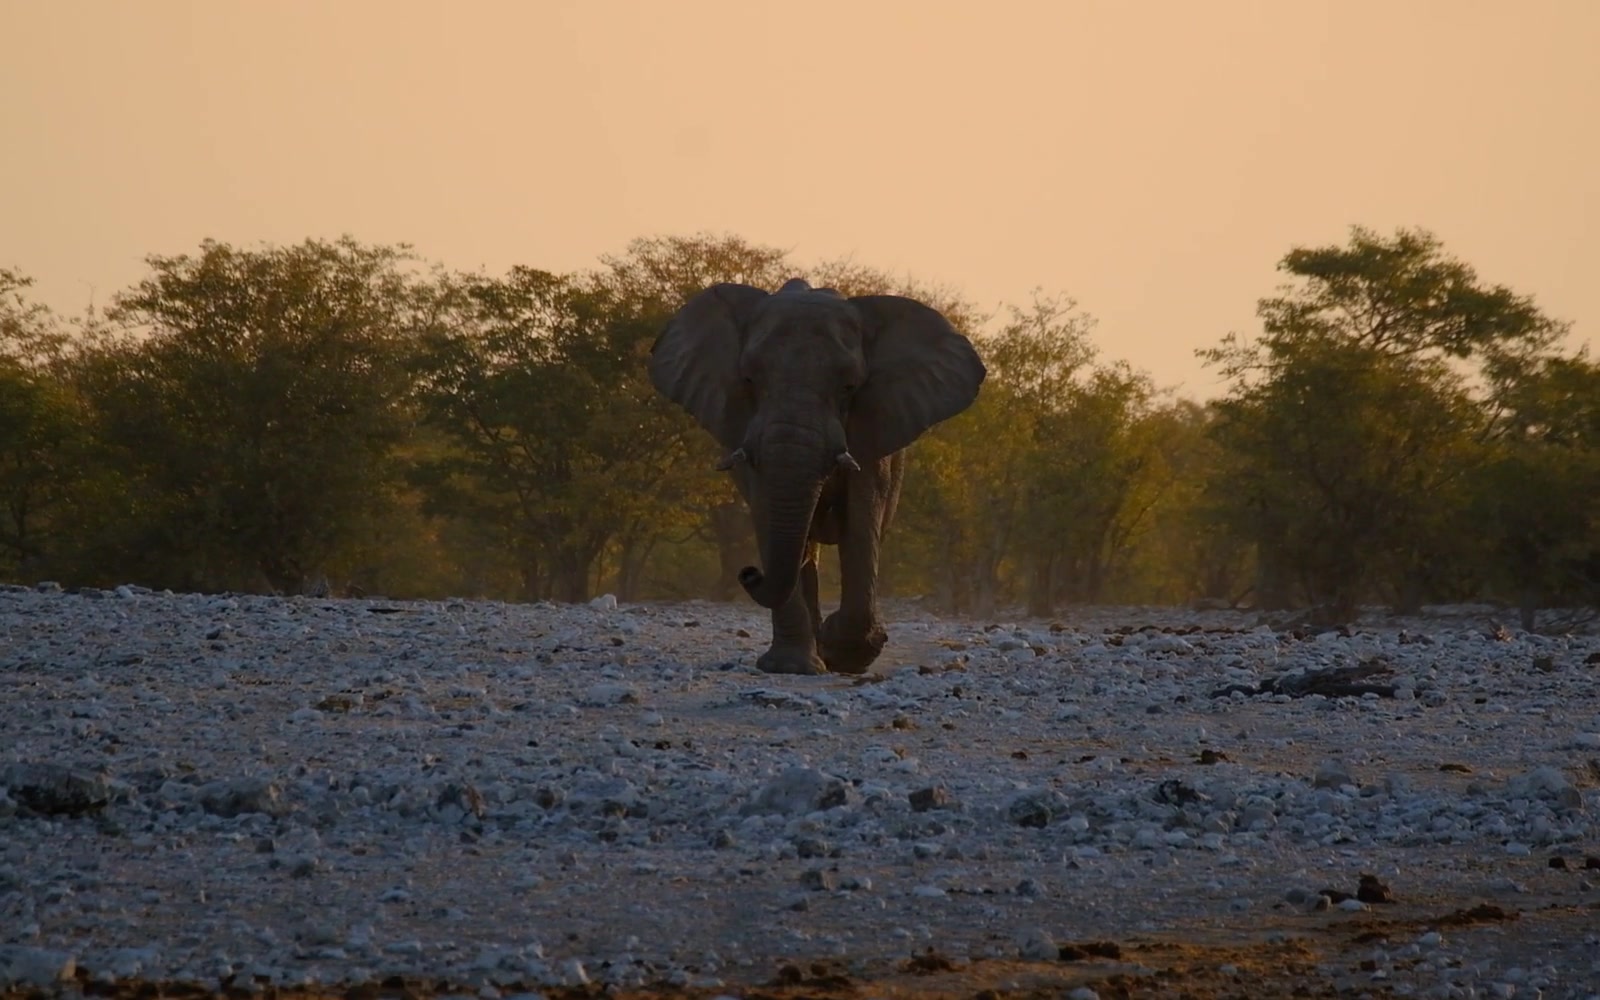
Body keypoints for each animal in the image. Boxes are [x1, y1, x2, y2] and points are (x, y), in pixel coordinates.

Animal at [649, 278, 986, 675]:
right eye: (748, 379)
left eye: (849, 386)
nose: (748, 573)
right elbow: (769, 512)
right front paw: (792, 666)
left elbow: (862, 517)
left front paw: (844, 652)